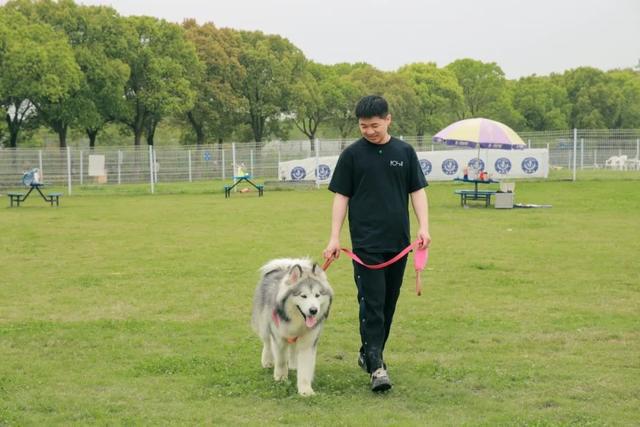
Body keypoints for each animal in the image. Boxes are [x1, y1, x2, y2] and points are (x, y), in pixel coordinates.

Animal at [251, 260, 336, 396]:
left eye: (317, 295)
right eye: (303, 296)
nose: (313, 310)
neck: (298, 322)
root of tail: (282, 267)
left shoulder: (308, 342)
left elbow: (305, 368)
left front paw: (305, 390)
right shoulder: (279, 338)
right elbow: (280, 360)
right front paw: (280, 378)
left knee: (292, 349)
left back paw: (293, 364)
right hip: (265, 323)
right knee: (267, 343)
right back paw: (267, 361)